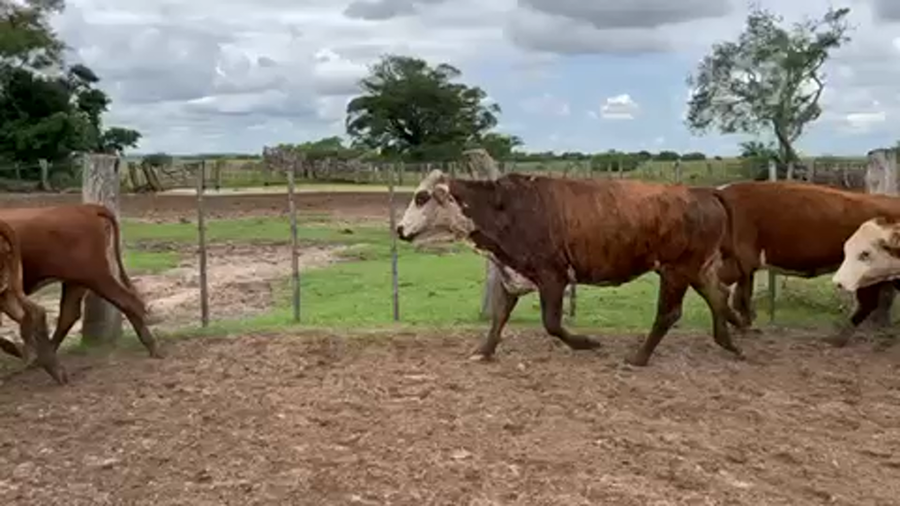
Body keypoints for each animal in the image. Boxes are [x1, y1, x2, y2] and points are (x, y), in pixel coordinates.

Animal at [395, 170, 746, 366]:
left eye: (421, 197)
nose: (399, 229)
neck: (506, 208)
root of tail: (705, 193)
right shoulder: (513, 274)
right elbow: (499, 317)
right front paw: (484, 350)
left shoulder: (553, 277)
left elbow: (551, 323)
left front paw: (587, 342)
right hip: (696, 268)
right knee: (718, 296)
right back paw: (729, 342)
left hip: (676, 270)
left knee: (669, 313)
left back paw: (638, 358)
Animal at [715, 180, 900, 344]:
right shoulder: (744, 268)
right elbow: (740, 298)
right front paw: (745, 327)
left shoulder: (737, 263)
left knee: (867, 303)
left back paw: (837, 338)